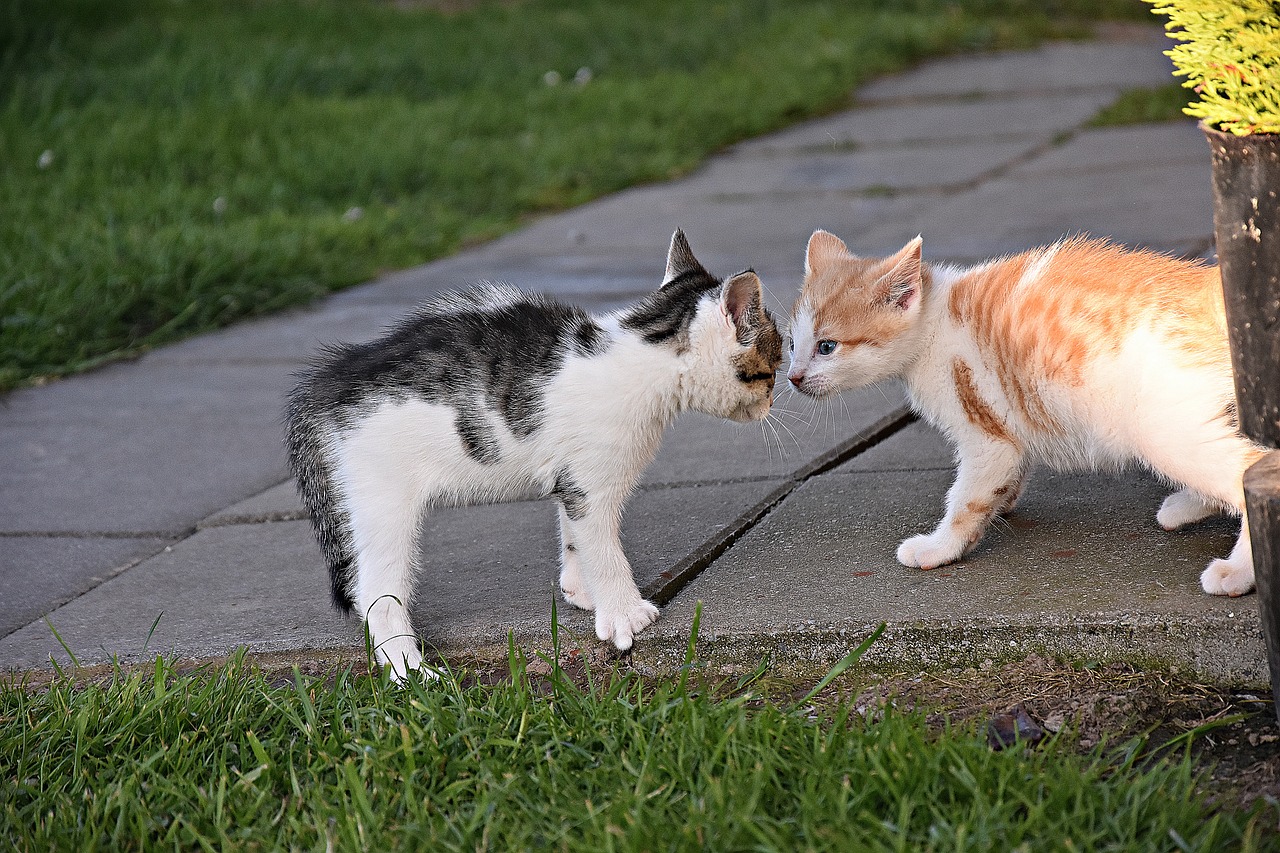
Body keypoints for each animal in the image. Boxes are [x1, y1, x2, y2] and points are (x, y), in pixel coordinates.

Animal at [285, 230, 778, 676]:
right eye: (770, 370)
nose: (773, 402)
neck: (641, 358)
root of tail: (324, 386)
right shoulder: (591, 485)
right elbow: (603, 548)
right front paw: (624, 614)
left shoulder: (571, 479)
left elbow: (575, 536)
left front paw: (582, 592)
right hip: (382, 499)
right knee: (374, 592)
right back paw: (410, 672)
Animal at [783, 229, 1264, 594]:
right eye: (792, 344)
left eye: (827, 346)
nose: (793, 377)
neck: (932, 325)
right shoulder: (1008, 421)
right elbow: (1007, 471)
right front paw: (1003, 503)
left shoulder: (984, 436)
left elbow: (966, 496)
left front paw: (939, 547)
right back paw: (1186, 506)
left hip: (1159, 425)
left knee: (1249, 469)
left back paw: (1237, 572)